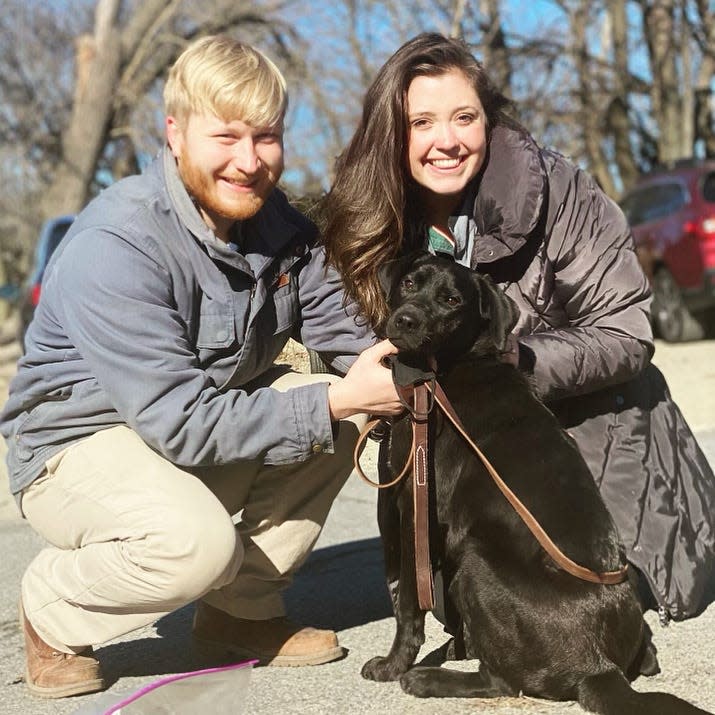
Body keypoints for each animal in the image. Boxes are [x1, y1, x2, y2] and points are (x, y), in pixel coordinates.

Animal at [366, 253, 712, 715]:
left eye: (452, 300)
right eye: (408, 283)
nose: (405, 320)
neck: (447, 368)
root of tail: (598, 667)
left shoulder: (415, 508)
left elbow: (408, 604)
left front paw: (391, 666)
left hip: (476, 565)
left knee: (502, 682)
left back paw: (428, 677)